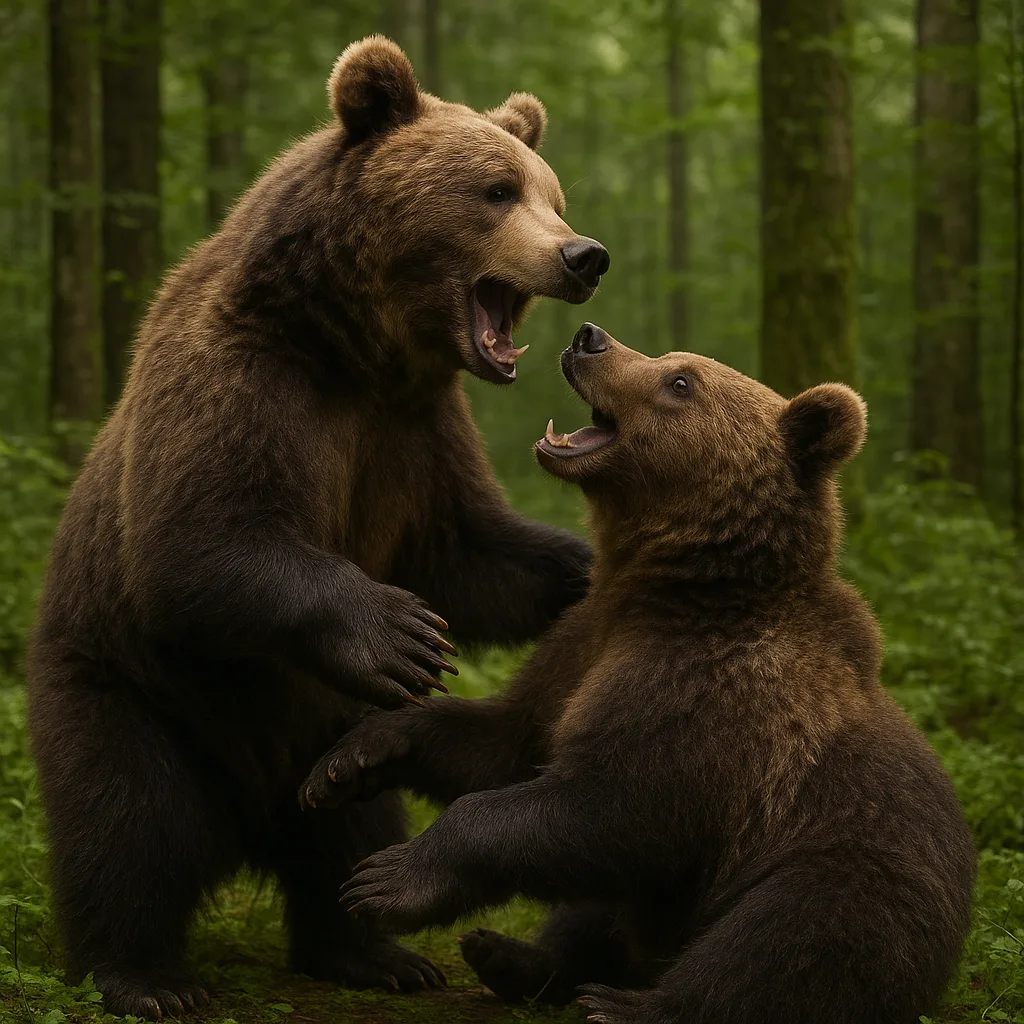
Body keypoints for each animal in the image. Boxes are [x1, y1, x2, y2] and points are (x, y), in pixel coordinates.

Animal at [26, 37, 609, 1019]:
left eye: (552, 194)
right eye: (496, 190)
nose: (583, 254)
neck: (357, 349)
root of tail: (246, 823)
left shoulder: (414, 435)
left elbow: (467, 552)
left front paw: (584, 573)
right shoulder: (242, 384)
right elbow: (199, 538)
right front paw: (401, 632)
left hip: (325, 731)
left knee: (347, 827)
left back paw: (374, 951)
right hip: (125, 685)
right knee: (127, 822)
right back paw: (147, 974)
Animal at [301, 323, 977, 1024]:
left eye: (681, 381)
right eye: (668, 360)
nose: (589, 337)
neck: (673, 586)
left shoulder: (711, 695)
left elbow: (612, 805)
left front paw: (386, 879)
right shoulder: (580, 647)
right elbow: (506, 742)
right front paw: (353, 755)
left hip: (845, 864)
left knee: (788, 941)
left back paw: (624, 1004)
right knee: (592, 911)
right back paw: (510, 956)